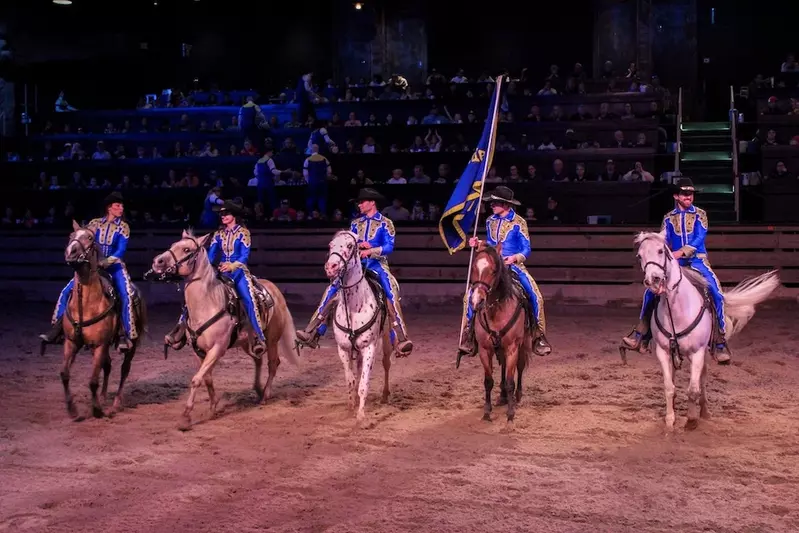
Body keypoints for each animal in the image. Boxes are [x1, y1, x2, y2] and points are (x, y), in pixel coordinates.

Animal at [60, 220, 148, 420]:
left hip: (130, 343)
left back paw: (115, 403)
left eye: (89, 238)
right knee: (107, 366)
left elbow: (93, 381)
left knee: (124, 369)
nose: (71, 252)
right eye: (71, 235)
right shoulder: (72, 342)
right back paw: (102, 397)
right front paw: (72, 409)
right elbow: (65, 374)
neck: (86, 304)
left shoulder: (100, 344)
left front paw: (97, 410)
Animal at [324, 231, 396, 426]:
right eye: (330, 245)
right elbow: (351, 380)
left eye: (350, 246)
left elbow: (364, 383)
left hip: (386, 340)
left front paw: (361, 416)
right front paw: (351, 408)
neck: (354, 306)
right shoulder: (343, 349)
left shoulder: (369, 347)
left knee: (386, 363)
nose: (331, 267)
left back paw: (385, 395)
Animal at [468, 242, 532, 424]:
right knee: (503, 366)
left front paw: (510, 414)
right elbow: (488, 381)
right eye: (474, 268)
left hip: (523, 343)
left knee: (520, 367)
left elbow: (511, 380)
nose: (477, 301)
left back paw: (517, 396)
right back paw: (502, 396)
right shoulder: (484, 349)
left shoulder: (512, 347)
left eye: (493, 270)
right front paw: (486, 412)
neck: (497, 310)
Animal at [636, 231, 780, 430]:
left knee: (702, 380)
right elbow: (669, 387)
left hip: (703, 353)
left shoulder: (697, 352)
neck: (677, 309)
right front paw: (670, 419)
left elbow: (693, 389)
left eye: (660, 251)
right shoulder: (663, 352)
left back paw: (704, 411)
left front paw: (691, 420)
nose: (653, 280)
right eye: (639, 256)